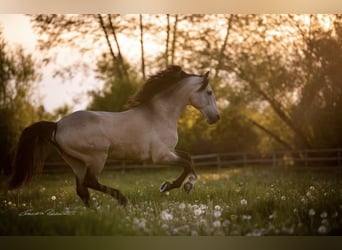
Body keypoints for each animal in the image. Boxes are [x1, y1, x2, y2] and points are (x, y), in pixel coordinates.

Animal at [8, 65, 222, 207]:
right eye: (209, 92)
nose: (216, 118)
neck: (160, 115)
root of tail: (57, 125)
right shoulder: (161, 156)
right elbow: (186, 163)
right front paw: (172, 186)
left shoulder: (170, 151)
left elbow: (189, 159)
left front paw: (184, 184)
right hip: (96, 158)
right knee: (89, 182)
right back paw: (122, 199)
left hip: (76, 162)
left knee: (82, 190)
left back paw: (96, 212)